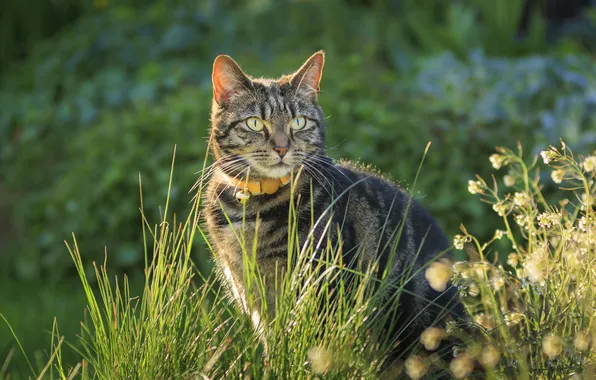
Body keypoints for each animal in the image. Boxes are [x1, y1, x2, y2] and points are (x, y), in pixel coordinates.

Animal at [203, 51, 464, 362]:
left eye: (299, 122)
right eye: (254, 123)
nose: (282, 147)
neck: (253, 207)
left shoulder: (319, 291)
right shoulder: (251, 295)